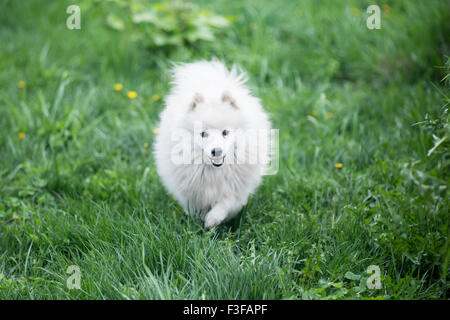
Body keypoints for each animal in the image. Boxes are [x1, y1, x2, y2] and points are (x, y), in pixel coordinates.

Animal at [153, 60, 270, 229]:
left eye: (225, 132)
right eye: (203, 133)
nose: (217, 151)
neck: (214, 171)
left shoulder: (235, 190)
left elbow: (225, 203)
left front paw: (212, 220)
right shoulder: (190, 190)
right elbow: (195, 206)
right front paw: (200, 219)